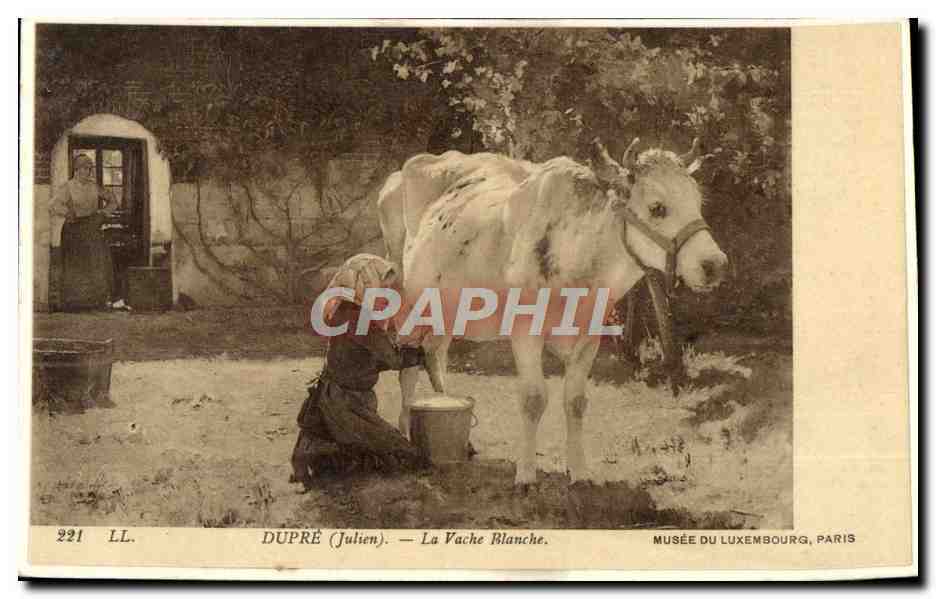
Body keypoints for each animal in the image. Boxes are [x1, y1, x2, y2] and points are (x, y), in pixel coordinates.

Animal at [377, 138, 727, 485]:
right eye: (657, 207)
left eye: (698, 203)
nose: (715, 264)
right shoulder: (525, 331)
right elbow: (533, 399)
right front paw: (526, 474)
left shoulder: (590, 337)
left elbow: (576, 402)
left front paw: (580, 472)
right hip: (409, 301)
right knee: (409, 365)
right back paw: (407, 430)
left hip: (447, 308)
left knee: (435, 355)